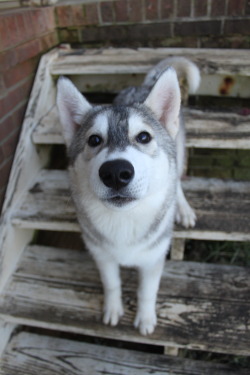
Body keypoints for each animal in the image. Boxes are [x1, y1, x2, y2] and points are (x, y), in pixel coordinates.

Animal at [56, 56, 199, 338]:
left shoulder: (154, 258)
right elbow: (111, 283)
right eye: (94, 140)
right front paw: (113, 309)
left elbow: (147, 291)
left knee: (177, 179)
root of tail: (142, 85)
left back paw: (183, 208)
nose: (115, 173)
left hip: (179, 150)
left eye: (143, 137)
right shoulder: (102, 255)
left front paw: (145, 318)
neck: (124, 222)